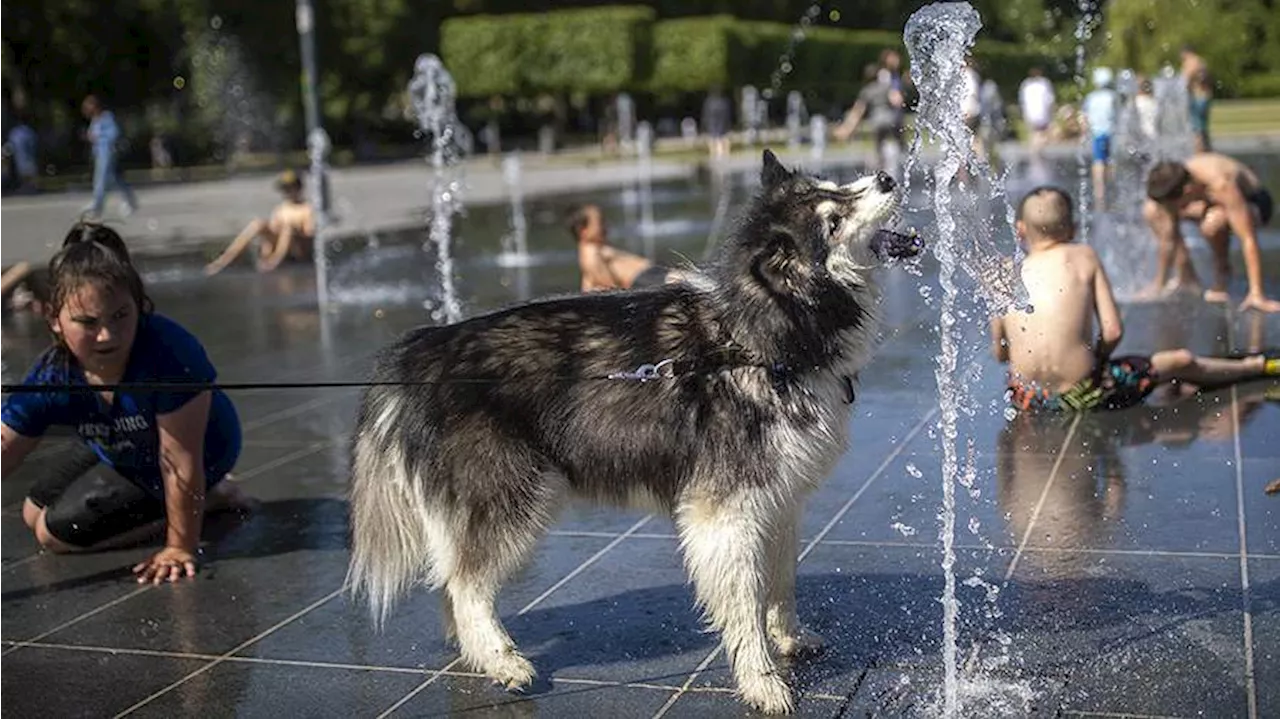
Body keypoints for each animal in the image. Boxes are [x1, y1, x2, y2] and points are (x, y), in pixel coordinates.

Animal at [350, 147, 926, 711]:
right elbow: (745, 603)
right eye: (833, 220)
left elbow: (779, 581)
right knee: (466, 585)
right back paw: (501, 660)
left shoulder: (780, 498)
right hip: (513, 501)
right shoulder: (725, 513)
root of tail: (418, 351)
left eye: (835, 185)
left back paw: (475, 652)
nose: (885, 177)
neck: (758, 340)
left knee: (450, 582)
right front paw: (762, 681)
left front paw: (788, 637)